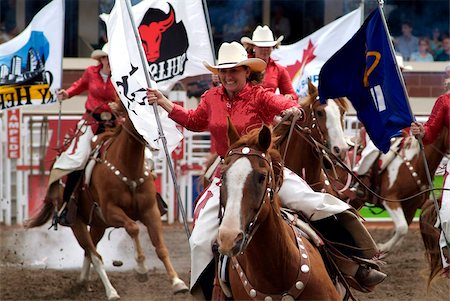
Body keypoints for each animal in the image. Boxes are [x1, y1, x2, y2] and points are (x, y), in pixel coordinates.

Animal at [25, 105, 188, 298]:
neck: (128, 168)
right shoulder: (111, 211)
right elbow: (133, 228)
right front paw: (141, 268)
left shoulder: (150, 211)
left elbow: (161, 248)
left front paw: (177, 282)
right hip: (77, 223)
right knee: (95, 255)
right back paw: (111, 292)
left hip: (98, 225)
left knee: (89, 252)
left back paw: (83, 280)